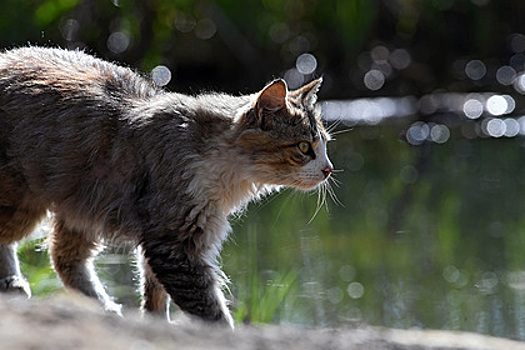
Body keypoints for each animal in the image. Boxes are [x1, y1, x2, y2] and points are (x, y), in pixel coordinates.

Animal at [0, 46, 332, 328]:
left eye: (325, 144)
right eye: (304, 147)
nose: (328, 169)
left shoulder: (169, 235)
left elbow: (156, 295)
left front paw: (156, 322)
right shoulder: (174, 240)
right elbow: (210, 309)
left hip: (81, 203)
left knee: (64, 257)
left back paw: (103, 307)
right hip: (24, 201)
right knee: (16, 240)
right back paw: (14, 283)